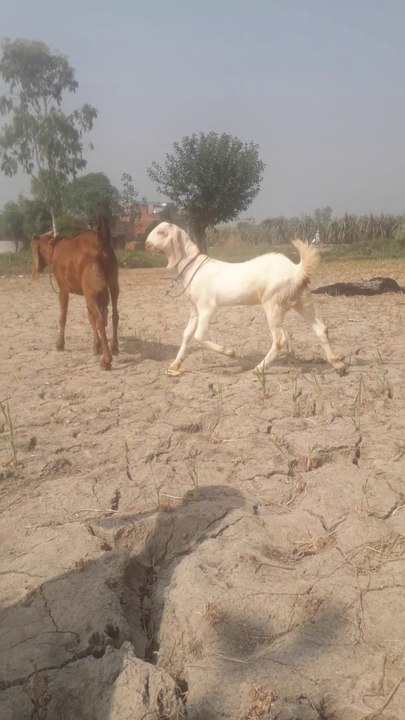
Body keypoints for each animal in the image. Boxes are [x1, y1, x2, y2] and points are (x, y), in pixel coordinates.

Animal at [31, 215, 119, 370]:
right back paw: (114, 348)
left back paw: (106, 360)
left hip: (91, 293)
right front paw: (96, 345)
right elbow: (91, 318)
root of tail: (100, 242)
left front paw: (60, 344)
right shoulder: (93, 293)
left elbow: (63, 317)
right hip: (113, 286)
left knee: (100, 320)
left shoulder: (64, 289)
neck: (53, 248)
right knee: (114, 315)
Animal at [145, 222, 345, 375]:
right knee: (321, 329)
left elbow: (199, 335)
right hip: (301, 300)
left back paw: (259, 368)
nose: (146, 244)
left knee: (280, 339)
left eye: (161, 232)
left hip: (272, 304)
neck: (195, 267)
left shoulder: (207, 307)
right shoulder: (194, 310)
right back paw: (338, 364)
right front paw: (175, 365)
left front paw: (230, 353)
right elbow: (187, 334)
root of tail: (297, 270)